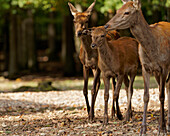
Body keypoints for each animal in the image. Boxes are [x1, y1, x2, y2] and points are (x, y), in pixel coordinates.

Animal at [105, 0, 170, 134]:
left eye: (127, 12)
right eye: (117, 10)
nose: (106, 26)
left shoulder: (165, 66)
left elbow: (161, 96)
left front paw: (162, 128)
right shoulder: (146, 67)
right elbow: (146, 96)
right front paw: (143, 129)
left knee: (166, 89)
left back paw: (166, 125)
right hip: (157, 73)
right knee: (165, 86)